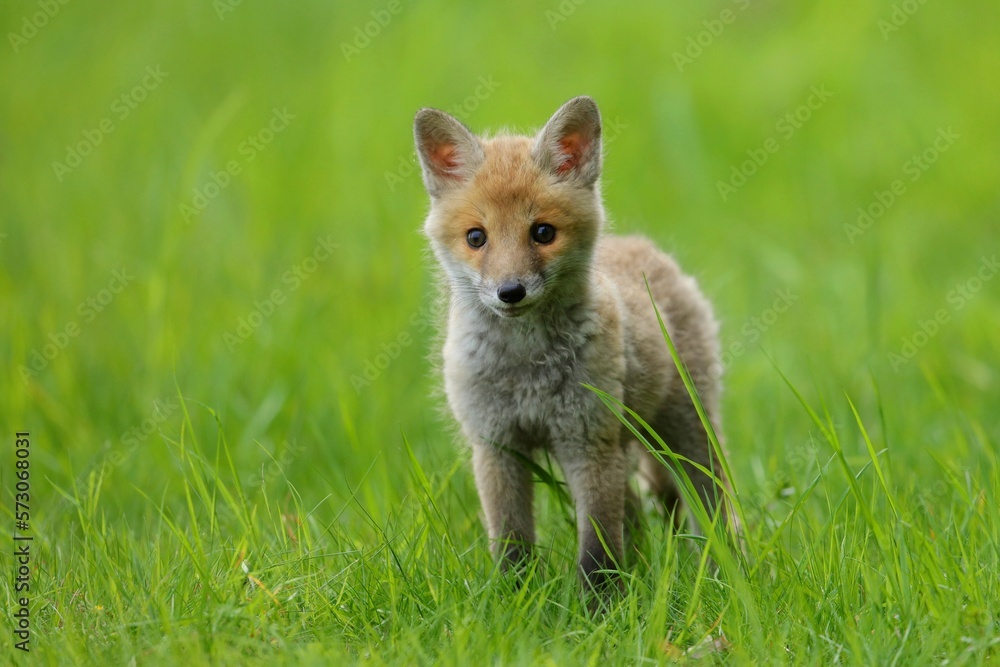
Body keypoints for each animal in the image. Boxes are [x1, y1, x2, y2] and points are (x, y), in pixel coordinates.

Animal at [410, 98, 732, 588]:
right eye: (476, 237)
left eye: (543, 232)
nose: (510, 292)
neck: (525, 369)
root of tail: (642, 246)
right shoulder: (497, 445)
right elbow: (512, 541)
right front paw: (514, 597)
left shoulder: (587, 442)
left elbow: (597, 550)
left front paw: (600, 603)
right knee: (637, 516)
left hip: (681, 431)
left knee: (711, 504)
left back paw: (723, 574)